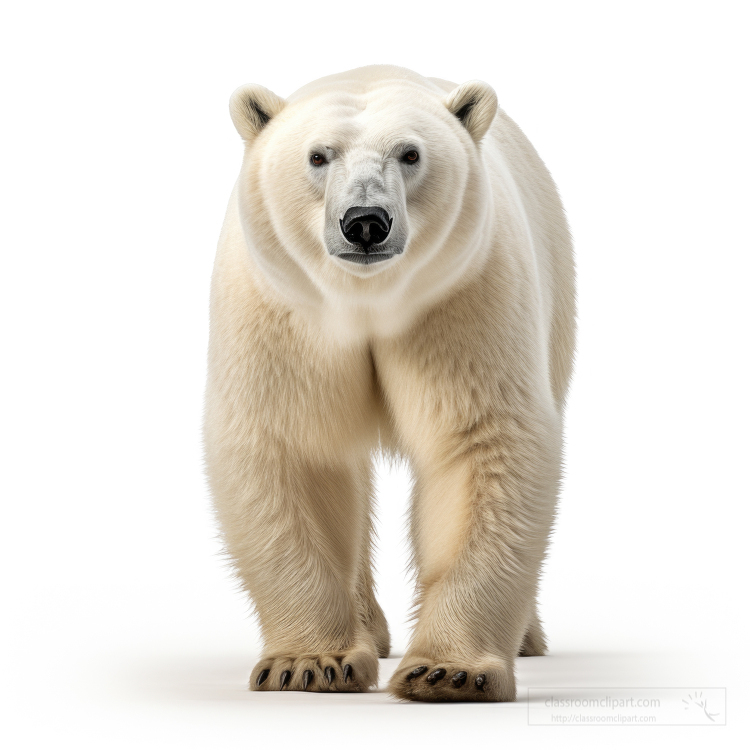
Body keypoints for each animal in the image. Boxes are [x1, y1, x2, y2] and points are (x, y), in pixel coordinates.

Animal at [204, 66, 576, 704]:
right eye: (318, 156)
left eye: (410, 153)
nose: (365, 222)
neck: (368, 301)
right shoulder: (281, 312)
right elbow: (294, 448)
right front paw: (310, 663)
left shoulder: (464, 298)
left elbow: (481, 445)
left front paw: (449, 672)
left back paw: (525, 637)